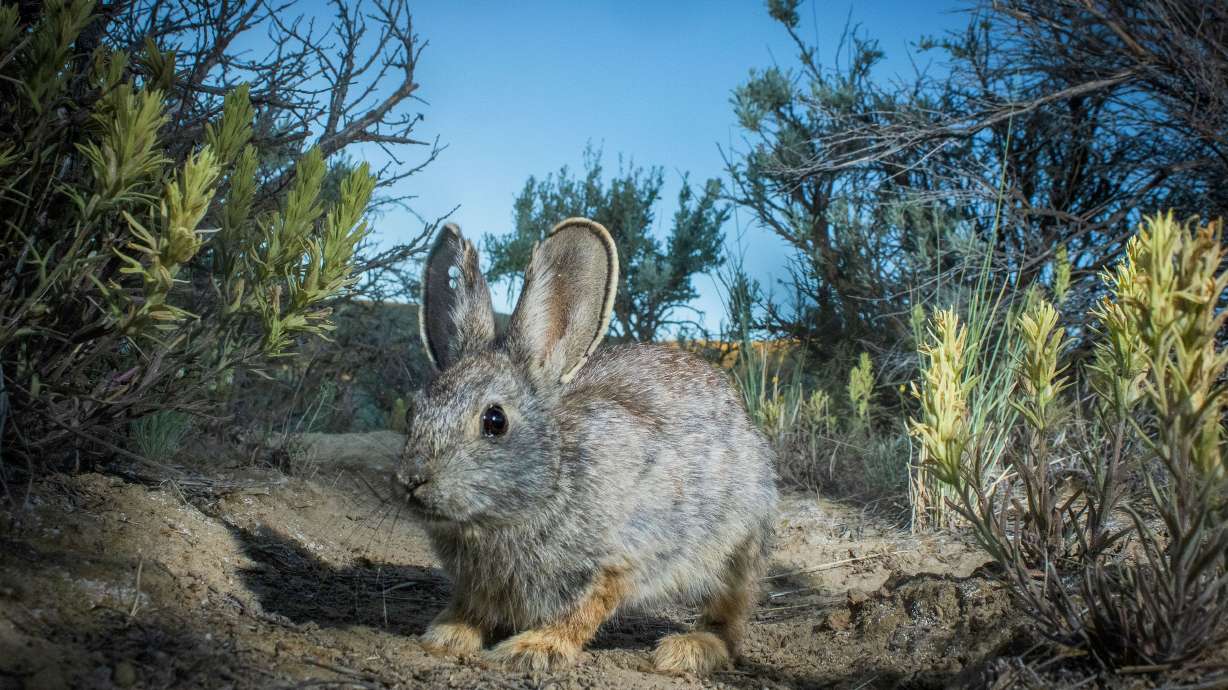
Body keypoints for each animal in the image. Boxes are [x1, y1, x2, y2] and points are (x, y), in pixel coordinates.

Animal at [396, 217, 778, 675]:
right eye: (412, 411)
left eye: (495, 421)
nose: (412, 480)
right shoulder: (477, 585)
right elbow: (471, 607)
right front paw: (447, 635)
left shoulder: (617, 561)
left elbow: (581, 612)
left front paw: (533, 649)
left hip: (739, 549)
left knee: (731, 621)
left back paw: (686, 650)